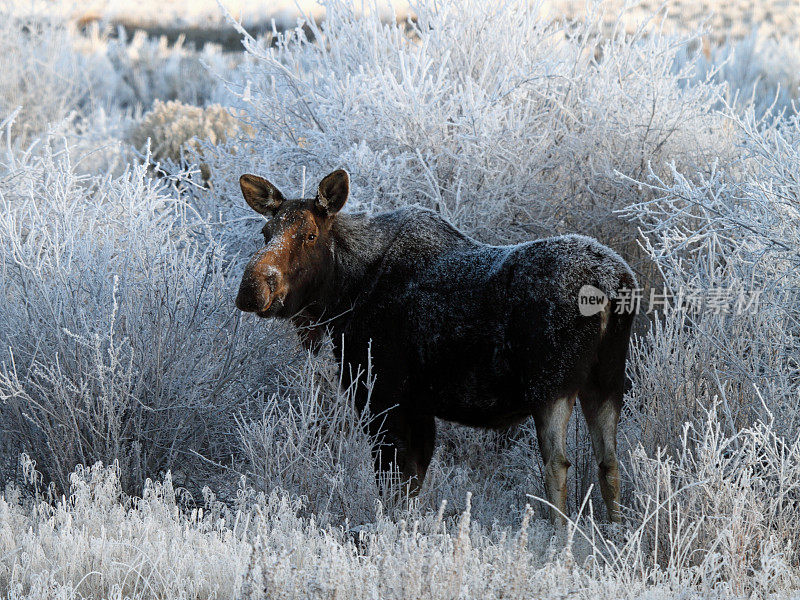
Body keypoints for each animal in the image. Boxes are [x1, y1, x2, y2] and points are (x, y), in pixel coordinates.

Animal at [234, 170, 636, 524]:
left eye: (311, 235)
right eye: (265, 232)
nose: (252, 288)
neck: (343, 296)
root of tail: (616, 284)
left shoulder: (382, 398)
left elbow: (393, 486)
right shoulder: (418, 407)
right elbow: (411, 486)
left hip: (552, 386)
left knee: (557, 464)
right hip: (607, 382)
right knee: (609, 462)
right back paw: (616, 533)